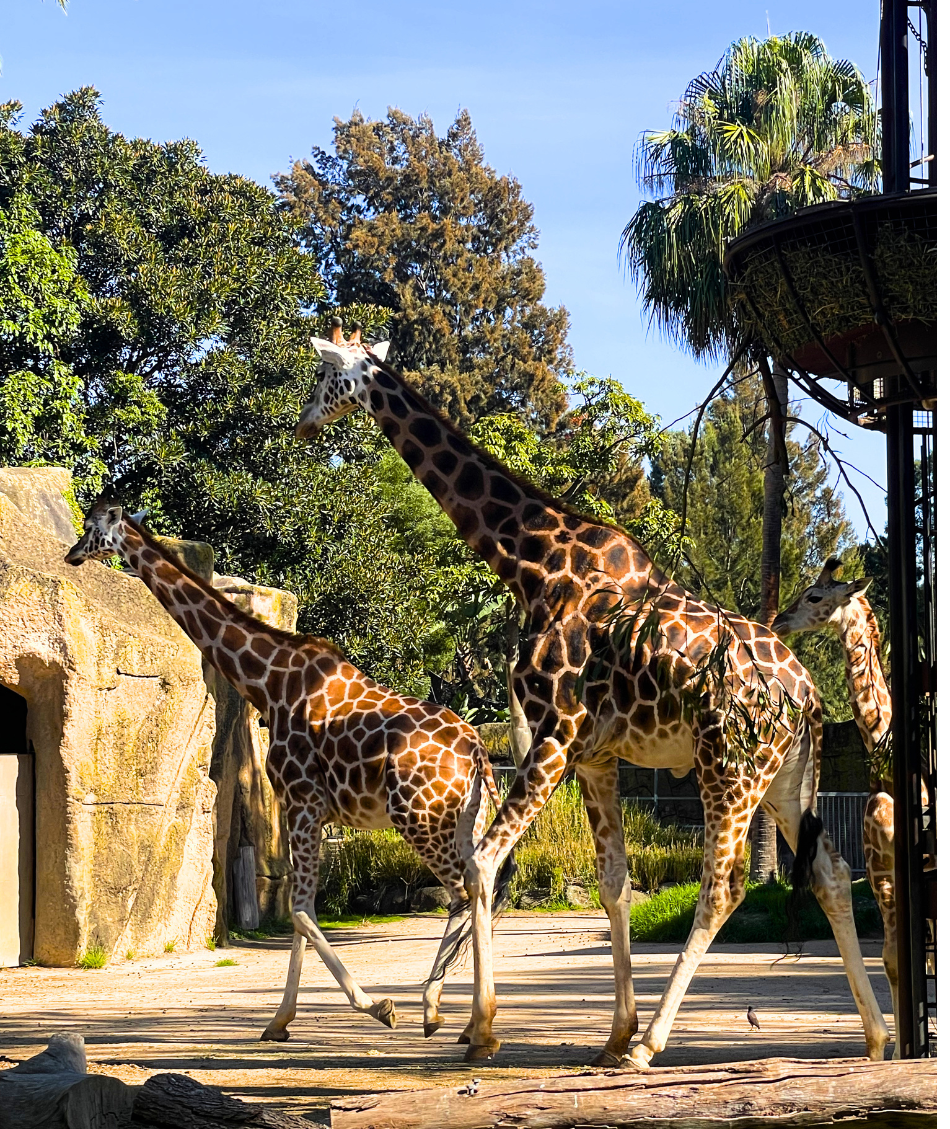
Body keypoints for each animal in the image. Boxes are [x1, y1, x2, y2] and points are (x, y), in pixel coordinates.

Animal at [65, 496, 513, 1041]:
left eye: (92, 526)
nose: (71, 553)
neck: (267, 681)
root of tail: (477, 750)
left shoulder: (301, 801)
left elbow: (299, 911)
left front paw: (377, 1006)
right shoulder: (306, 810)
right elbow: (302, 912)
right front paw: (278, 1022)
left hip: (419, 816)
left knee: (464, 889)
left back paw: (458, 1016)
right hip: (459, 817)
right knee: (477, 887)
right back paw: (455, 1017)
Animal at [293, 330, 889, 1067]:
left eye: (326, 375)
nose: (303, 421)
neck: (530, 562)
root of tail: (806, 694)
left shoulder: (555, 734)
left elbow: (481, 865)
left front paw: (481, 1029)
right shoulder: (595, 755)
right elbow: (613, 883)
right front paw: (610, 1033)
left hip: (728, 767)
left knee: (722, 886)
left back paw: (654, 1044)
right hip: (784, 777)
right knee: (832, 875)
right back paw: (875, 1037)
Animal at [772, 555, 929, 1057]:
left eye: (815, 596)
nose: (779, 620)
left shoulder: (887, 865)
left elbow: (901, 958)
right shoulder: (887, 872)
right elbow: (896, 959)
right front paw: (899, 1050)